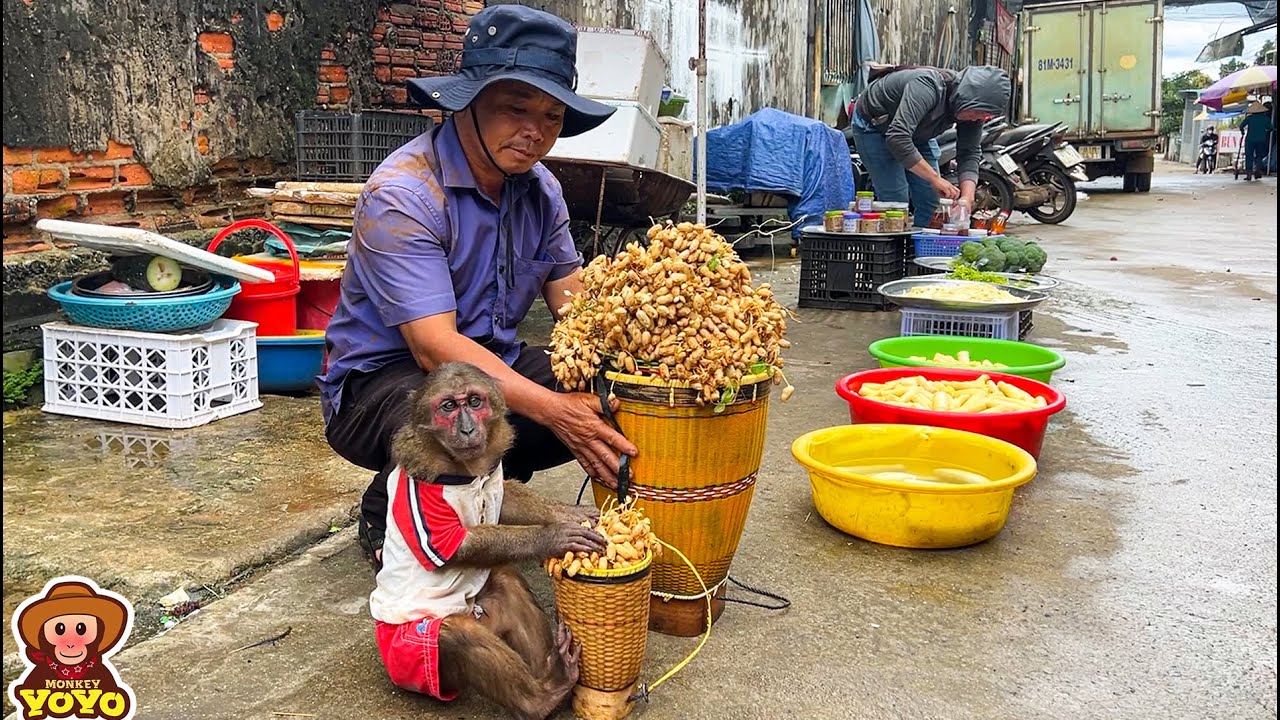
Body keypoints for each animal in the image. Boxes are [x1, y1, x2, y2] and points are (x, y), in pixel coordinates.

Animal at [371, 363, 609, 717]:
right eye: (448, 407)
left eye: (474, 401)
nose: (468, 429)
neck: (462, 468)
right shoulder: (423, 489)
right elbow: (455, 544)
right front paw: (551, 536)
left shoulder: (489, 473)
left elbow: (505, 498)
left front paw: (569, 514)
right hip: (407, 655)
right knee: (454, 635)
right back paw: (541, 701)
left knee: (504, 582)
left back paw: (553, 672)